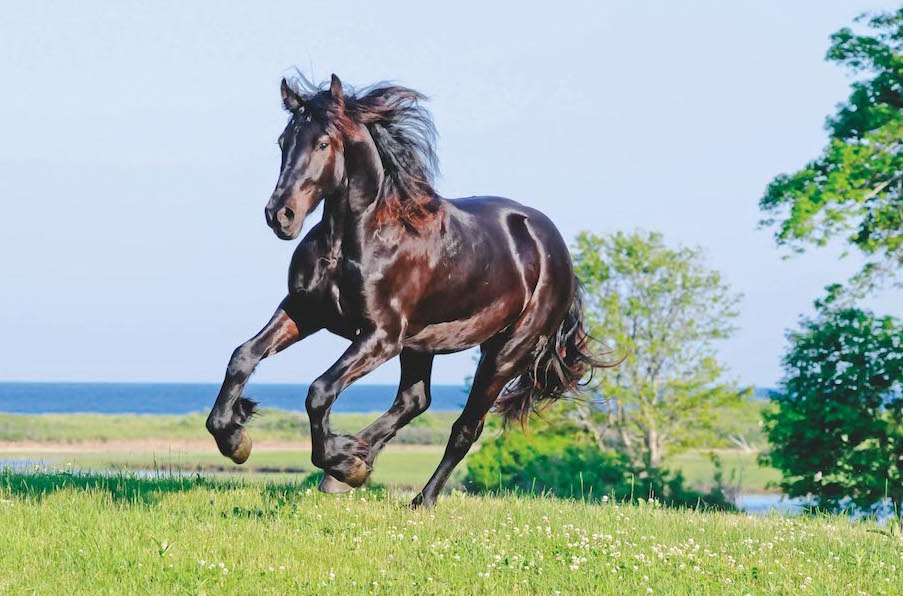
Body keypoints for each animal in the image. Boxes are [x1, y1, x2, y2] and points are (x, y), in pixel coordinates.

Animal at [205, 72, 608, 506]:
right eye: (283, 141)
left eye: (323, 143)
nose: (280, 215)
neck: (355, 241)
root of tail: (556, 249)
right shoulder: (305, 311)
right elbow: (243, 356)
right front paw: (233, 437)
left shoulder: (381, 336)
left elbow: (319, 391)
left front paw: (339, 459)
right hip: (421, 344)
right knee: (414, 401)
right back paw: (353, 464)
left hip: (505, 351)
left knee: (465, 427)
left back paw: (416, 497)